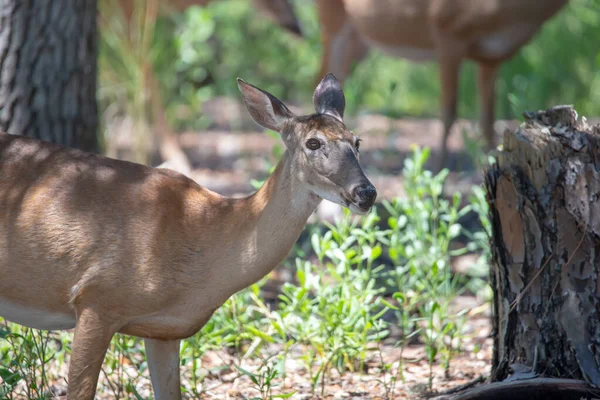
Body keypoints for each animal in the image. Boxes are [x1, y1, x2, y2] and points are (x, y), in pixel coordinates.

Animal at [316, 0, 568, 169]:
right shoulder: (448, 30)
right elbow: (449, 113)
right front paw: (439, 173)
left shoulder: (490, 58)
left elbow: (488, 121)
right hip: (334, 21)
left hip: (359, 40)